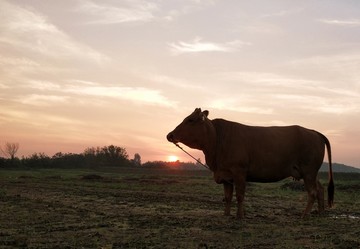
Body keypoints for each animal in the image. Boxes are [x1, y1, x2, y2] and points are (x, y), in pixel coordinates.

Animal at [167, 108, 334, 219]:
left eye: (190, 120)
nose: (170, 135)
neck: (217, 139)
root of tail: (313, 131)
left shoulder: (239, 172)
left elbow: (240, 195)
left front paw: (240, 216)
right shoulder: (225, 176)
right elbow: (228, 197)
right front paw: (226, 214)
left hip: (308, 172)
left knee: (312, 192)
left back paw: (305, 214)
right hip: (310, 173)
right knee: (320, 189)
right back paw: (320, 212)